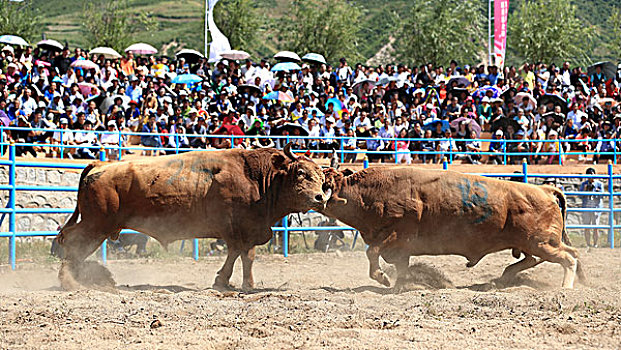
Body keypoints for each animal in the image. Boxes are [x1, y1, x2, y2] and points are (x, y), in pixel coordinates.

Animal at [322, 167, 584, 290]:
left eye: (326, 184)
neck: (375, 193)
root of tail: (544, 190)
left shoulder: (396, 235)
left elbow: (372, 253)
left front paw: (383, 278)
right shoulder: (401, 250)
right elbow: (401, 267)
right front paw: (403, 284)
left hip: (541, 243)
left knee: (569, 257)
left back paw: (565, 287)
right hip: (533, 244)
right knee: (536, 259)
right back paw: (503, 277)